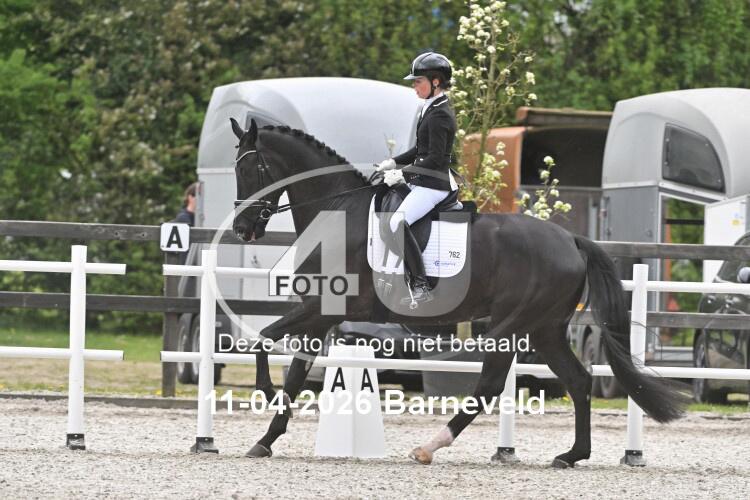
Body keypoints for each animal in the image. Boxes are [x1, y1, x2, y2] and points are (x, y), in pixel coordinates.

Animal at [229, 117, 685, 467]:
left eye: (251, 170)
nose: (242, 229)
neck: (340, 213)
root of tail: (571, 240)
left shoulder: (321, 309)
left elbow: (264, 341)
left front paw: (264, 394)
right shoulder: (321, 312)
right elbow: (294, 370)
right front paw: (266, 439)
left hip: (510, 325)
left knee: (489, 386)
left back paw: (429, 447)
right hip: (545, 329)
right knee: (577, 379)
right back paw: (571, 454)